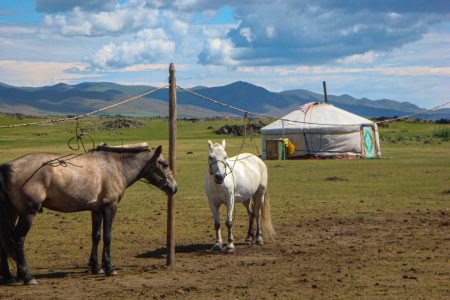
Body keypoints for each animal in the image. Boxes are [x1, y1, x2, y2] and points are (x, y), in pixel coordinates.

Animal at [0, 143, 178, 284]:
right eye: (164, 163)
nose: (174, 187)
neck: (115, 166)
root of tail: (8, 166)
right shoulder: (110, 208)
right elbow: (107, 236)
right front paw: (109, 268)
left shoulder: (96, 210)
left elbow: (96, 236)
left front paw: (96, 267)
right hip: (28, 214)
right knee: (18, 239)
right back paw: (27, 277)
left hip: (13, 212)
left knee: (5, 240)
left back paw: (9, 277)